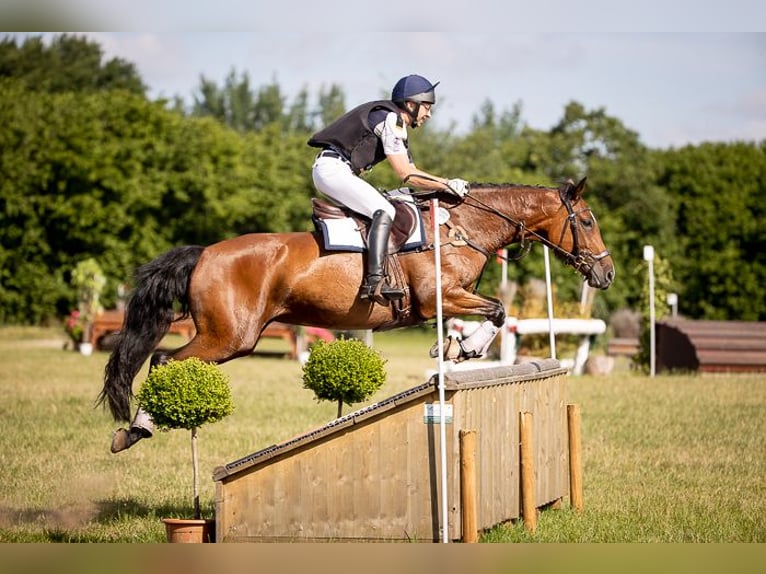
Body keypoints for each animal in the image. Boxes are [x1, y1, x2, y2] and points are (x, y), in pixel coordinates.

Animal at [100, 178, 616, 452]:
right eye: (588, 221)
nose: (607, 273)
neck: (462, 227)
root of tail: (205, 253)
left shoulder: (455, 297)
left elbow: (494, 311)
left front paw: (453, 346)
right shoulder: (439, 296)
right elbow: (498, 310)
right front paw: (463, 348)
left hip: (231, 338)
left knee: (164, 359)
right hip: (230, 336)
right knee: (165, 359)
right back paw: (137, 430)